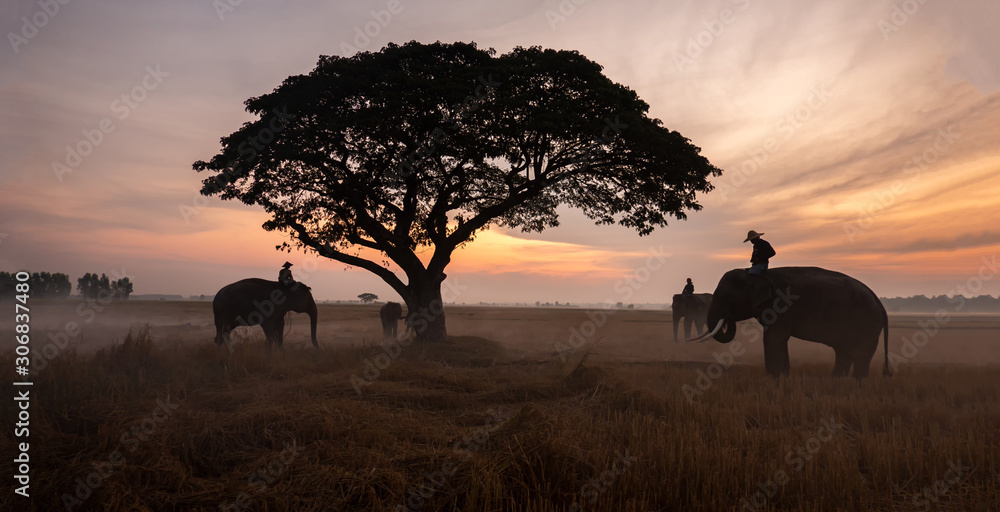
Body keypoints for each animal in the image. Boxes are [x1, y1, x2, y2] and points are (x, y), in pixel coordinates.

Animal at [696, 266, 892, 378]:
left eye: (727, 298)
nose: (727, 319)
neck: (757, 276)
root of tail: (878, 301)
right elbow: (779, 340)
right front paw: (784, 377)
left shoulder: (781, 307)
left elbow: (773, 339)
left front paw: (773, 379)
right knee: (844, 352)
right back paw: (837, 380)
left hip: (868, 323)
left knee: (861, 354)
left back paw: (857, 383)